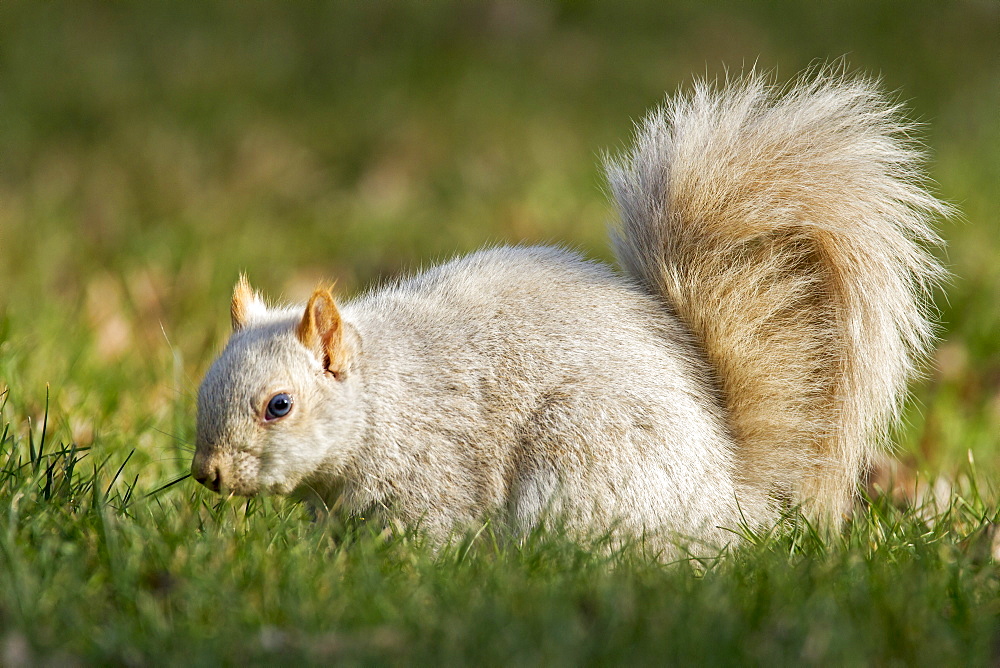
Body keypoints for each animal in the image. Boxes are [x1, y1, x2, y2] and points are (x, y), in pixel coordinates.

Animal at [193, 72, 944, 552]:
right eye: (202, 388)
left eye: (280, 406)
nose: (208, 475)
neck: (386, 395)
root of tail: (729, 496)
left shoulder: (436, 472)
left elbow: (429, 531)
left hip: (583, 460)